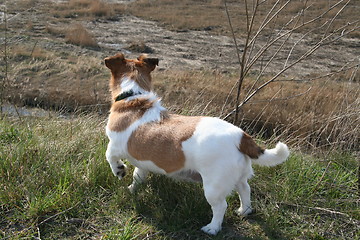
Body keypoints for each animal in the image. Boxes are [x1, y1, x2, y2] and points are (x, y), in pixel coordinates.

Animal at [104, 52, 290, 234]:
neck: (133, 96)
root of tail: (241, 137)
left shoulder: (115, 144)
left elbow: (110, 156)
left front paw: (119, 170)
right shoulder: (143, 161)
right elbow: (138, 177)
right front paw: (131, 189)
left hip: (213, 187)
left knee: (221, 206)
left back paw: (212, 228)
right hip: (238, 177)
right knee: (245, 190)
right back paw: (244, 211)